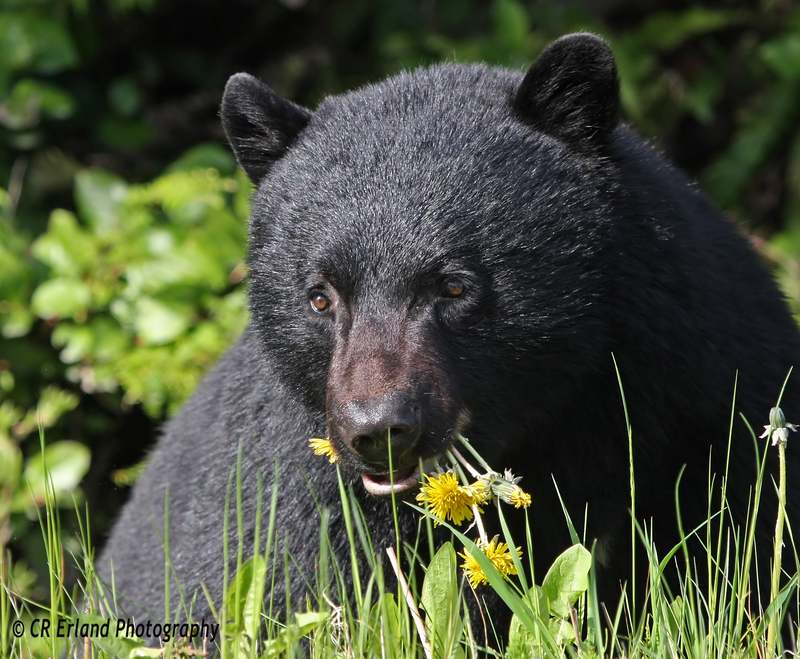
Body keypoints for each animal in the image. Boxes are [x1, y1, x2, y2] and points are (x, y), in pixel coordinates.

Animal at [100, 32, 800, 644]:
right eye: (321, 296)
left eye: (455, 286)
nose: (379, 431)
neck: (555, 425)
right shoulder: (292, 503)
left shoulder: (708, 394)